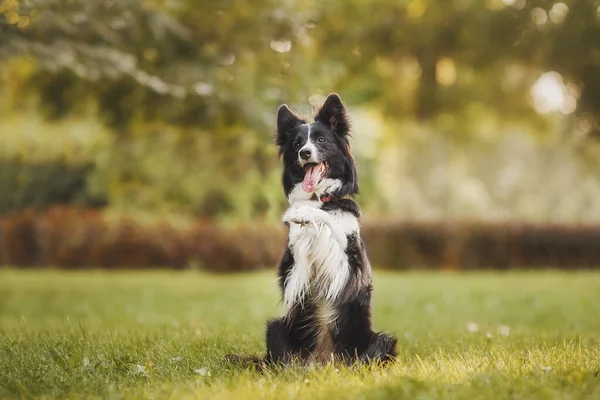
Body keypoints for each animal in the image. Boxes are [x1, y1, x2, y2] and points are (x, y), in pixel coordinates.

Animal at [227, 92, 396, 368]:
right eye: (297, 144)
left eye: (321, 140)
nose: (305, 153)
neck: (319, 197)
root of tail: (322, 362)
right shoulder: (293, 271)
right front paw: (301, 213)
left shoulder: (347, 268)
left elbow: (330, 224)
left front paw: (305, 214)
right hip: (277, 326)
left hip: (380, 341)